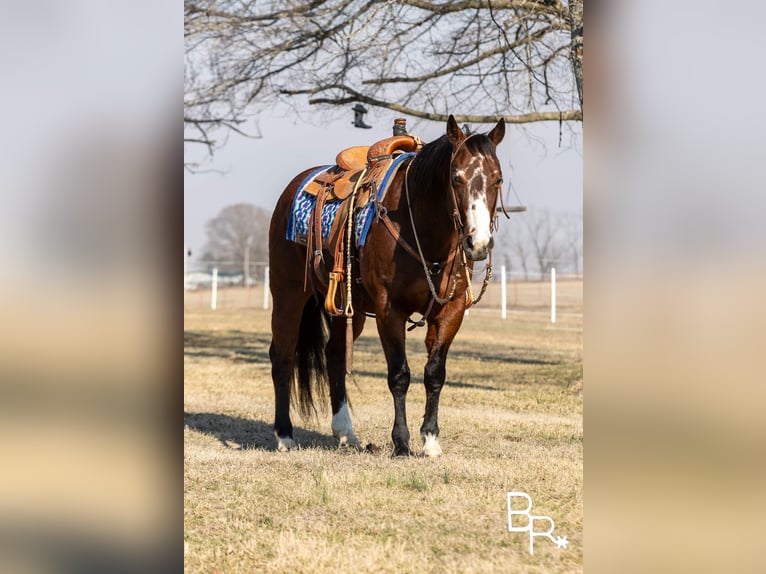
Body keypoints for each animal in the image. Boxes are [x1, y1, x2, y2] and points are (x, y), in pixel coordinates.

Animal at [268, 116, 508, 460]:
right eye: (456, 177)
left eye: (497, 179)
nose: (478, 243)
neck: (422, 228)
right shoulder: (389, 311)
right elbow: (399, 375)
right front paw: (401, 443)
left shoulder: (450, 312)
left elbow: (435, 373)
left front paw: (430, 440)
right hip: (287, 295)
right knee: (283, 357)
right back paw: (284, 436)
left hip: (347, 309)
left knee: (335, 356)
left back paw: (346, 433)